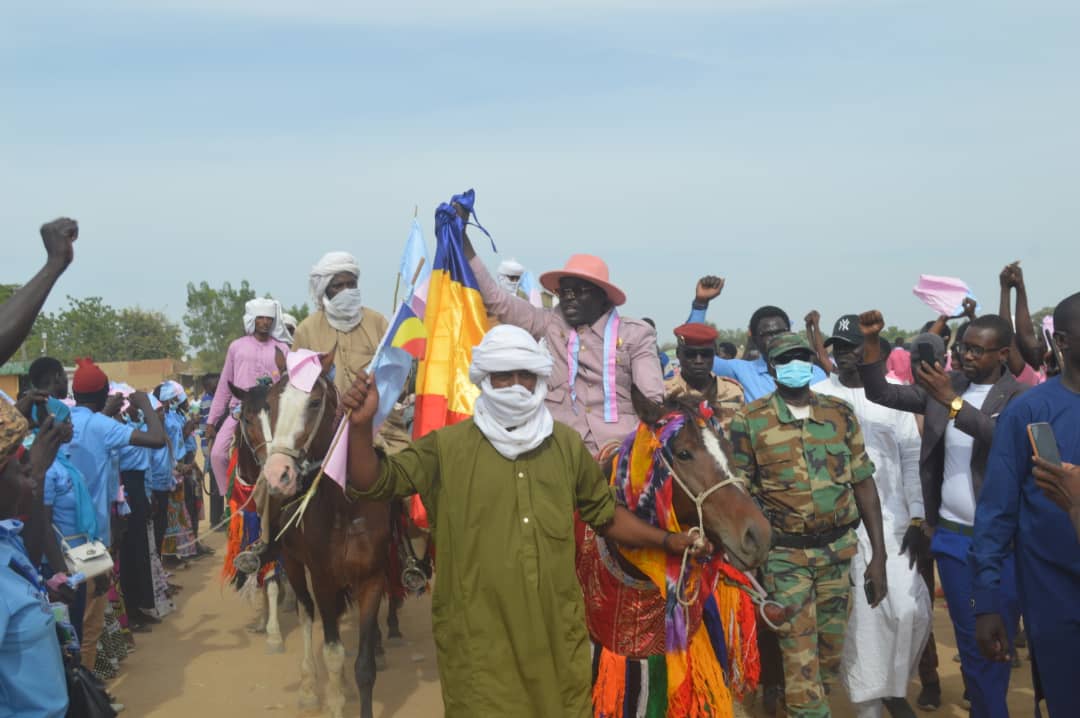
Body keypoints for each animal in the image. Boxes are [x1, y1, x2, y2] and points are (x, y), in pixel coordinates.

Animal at [232, 351, 393, 716]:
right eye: (272, 403)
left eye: (315, 401)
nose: (277, 474)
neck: (346, 508)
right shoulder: (322, 577)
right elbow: (332, 652)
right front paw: (334, 703)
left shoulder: (372, 578)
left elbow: (364, 667)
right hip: (293, 563)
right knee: (306, 613)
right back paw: (308, 687)